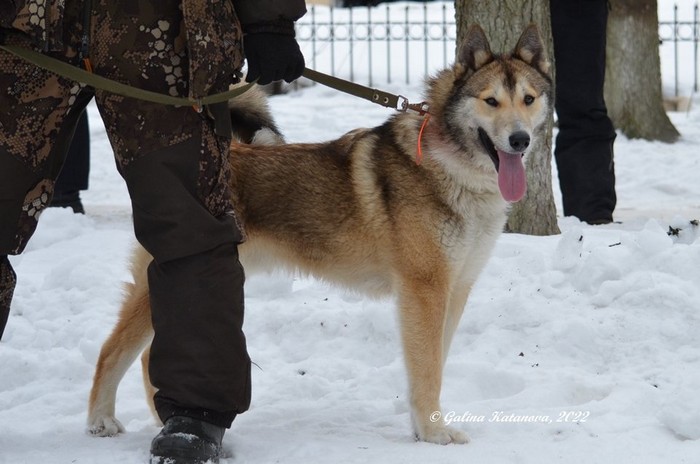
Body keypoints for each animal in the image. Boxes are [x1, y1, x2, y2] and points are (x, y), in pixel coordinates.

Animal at [87, 24, 552, 445]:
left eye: (528, 99)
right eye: (490, 101)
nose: (520, 140)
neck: (452, 167)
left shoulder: (455, 290)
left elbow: (435, 364)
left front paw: (424, 429)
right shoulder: (425, 292)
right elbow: (427, 371)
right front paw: (435, 433)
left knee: (151, 354)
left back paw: (167, 419)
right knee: (113, 351)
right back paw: (102, 420)